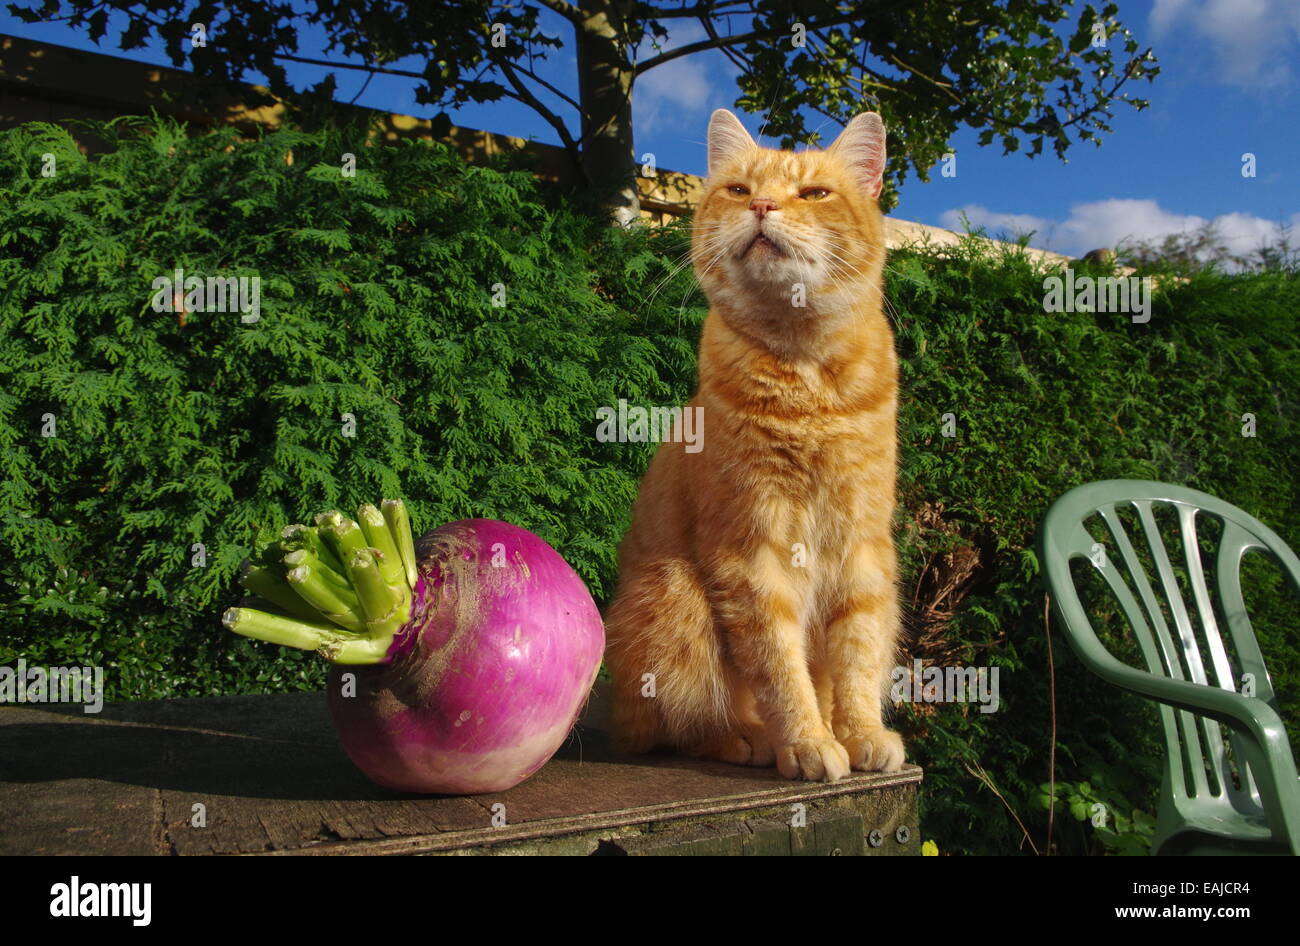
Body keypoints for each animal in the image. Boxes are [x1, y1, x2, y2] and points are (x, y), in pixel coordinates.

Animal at [600, 109, 899, 784]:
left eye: (813, 193)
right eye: (739, 189)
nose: (763, 205)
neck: (806, 384)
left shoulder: (862, 550)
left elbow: (857, 654)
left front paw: (859, 733)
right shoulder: (753, 552)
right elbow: (779, 665)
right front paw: (808, 741)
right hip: (677, 598)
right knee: (677, 729)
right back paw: (747, 738)